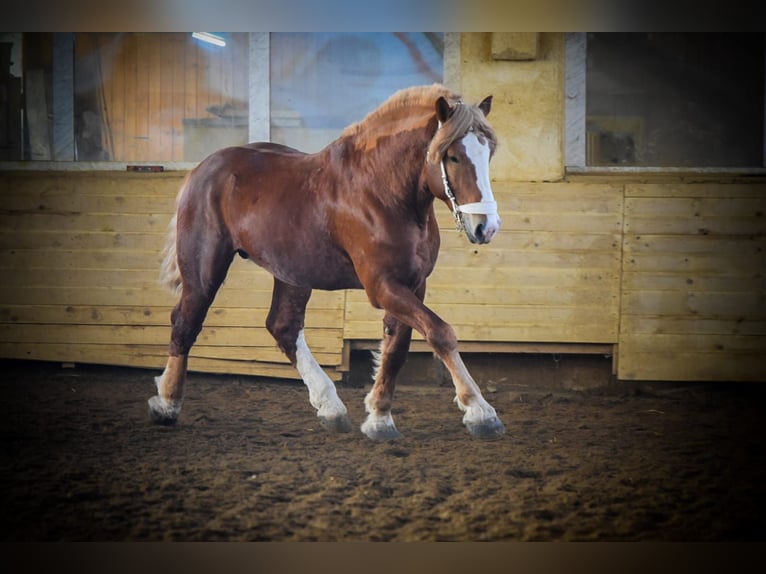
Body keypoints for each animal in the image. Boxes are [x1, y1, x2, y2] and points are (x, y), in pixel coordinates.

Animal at [148, 84, 505, 440]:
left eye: (489, 153)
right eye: (453, 156)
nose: (485, 227)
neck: (381, 192)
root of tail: (203, 168)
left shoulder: (414, 285)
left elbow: (397, 348)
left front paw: (379, 417)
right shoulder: (382, 286)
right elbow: (440, 332)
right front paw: (480, 412)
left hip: (292, 273)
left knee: (283, 326)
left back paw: (330, 407)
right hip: (204, 270)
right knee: (186, 322)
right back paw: (167, 404)